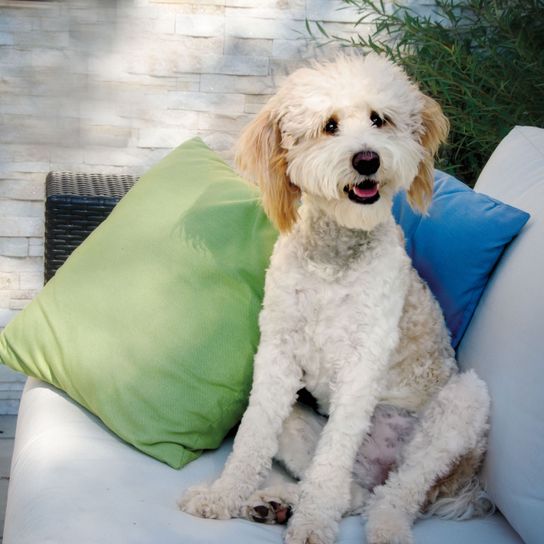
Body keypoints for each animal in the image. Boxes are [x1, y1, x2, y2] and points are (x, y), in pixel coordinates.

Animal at [180, 54, 492, 544]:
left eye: (379, 119)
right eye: (329, 126)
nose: (367, 159)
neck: (335, 255)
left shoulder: (362, 364)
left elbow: (331, 465)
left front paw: (312, 525)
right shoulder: (277, 354)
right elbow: (251, 439)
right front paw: (223, 496)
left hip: (462, 406)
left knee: (397, 493)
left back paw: (384, 527)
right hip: (298, 420)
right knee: (354, 491)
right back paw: (276, 502)